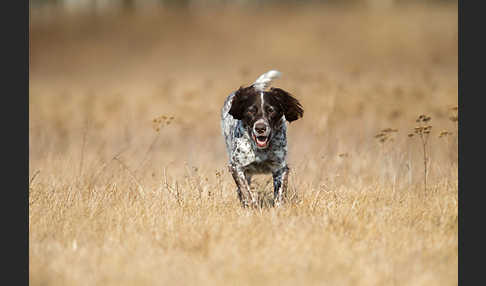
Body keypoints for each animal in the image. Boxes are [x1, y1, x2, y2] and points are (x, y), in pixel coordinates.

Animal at [221, 70, 304, 207]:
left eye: (271, 110)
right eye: (250, 111)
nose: (260, 128)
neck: (261, 150)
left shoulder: (280, 168)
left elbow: (279, 193)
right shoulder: (236, 167)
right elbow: (246, 192)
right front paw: (252, 206)